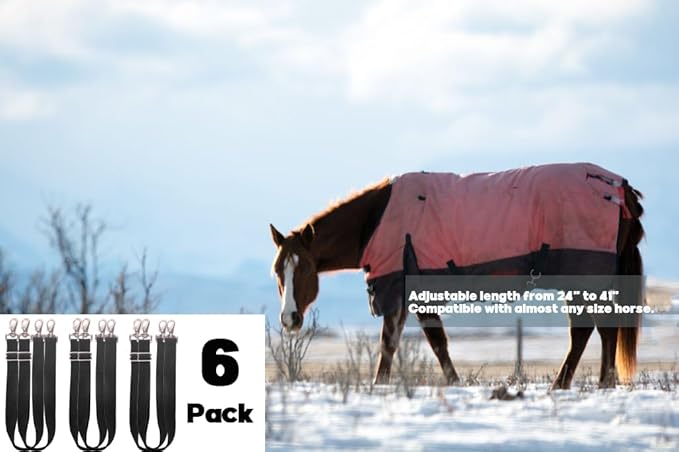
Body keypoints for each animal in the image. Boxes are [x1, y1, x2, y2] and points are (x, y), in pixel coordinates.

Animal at [269, 163, 644, 389]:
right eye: (277, 270)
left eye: (303, 268)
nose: (289, 319)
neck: (377, 220)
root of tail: (619, 188)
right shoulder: (406, 296)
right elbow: (401, 344)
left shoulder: (410, 293)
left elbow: (426, 344)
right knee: (596, 330)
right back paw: (587, 384)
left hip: (583, 278)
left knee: (591, 330)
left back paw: (582, 385)